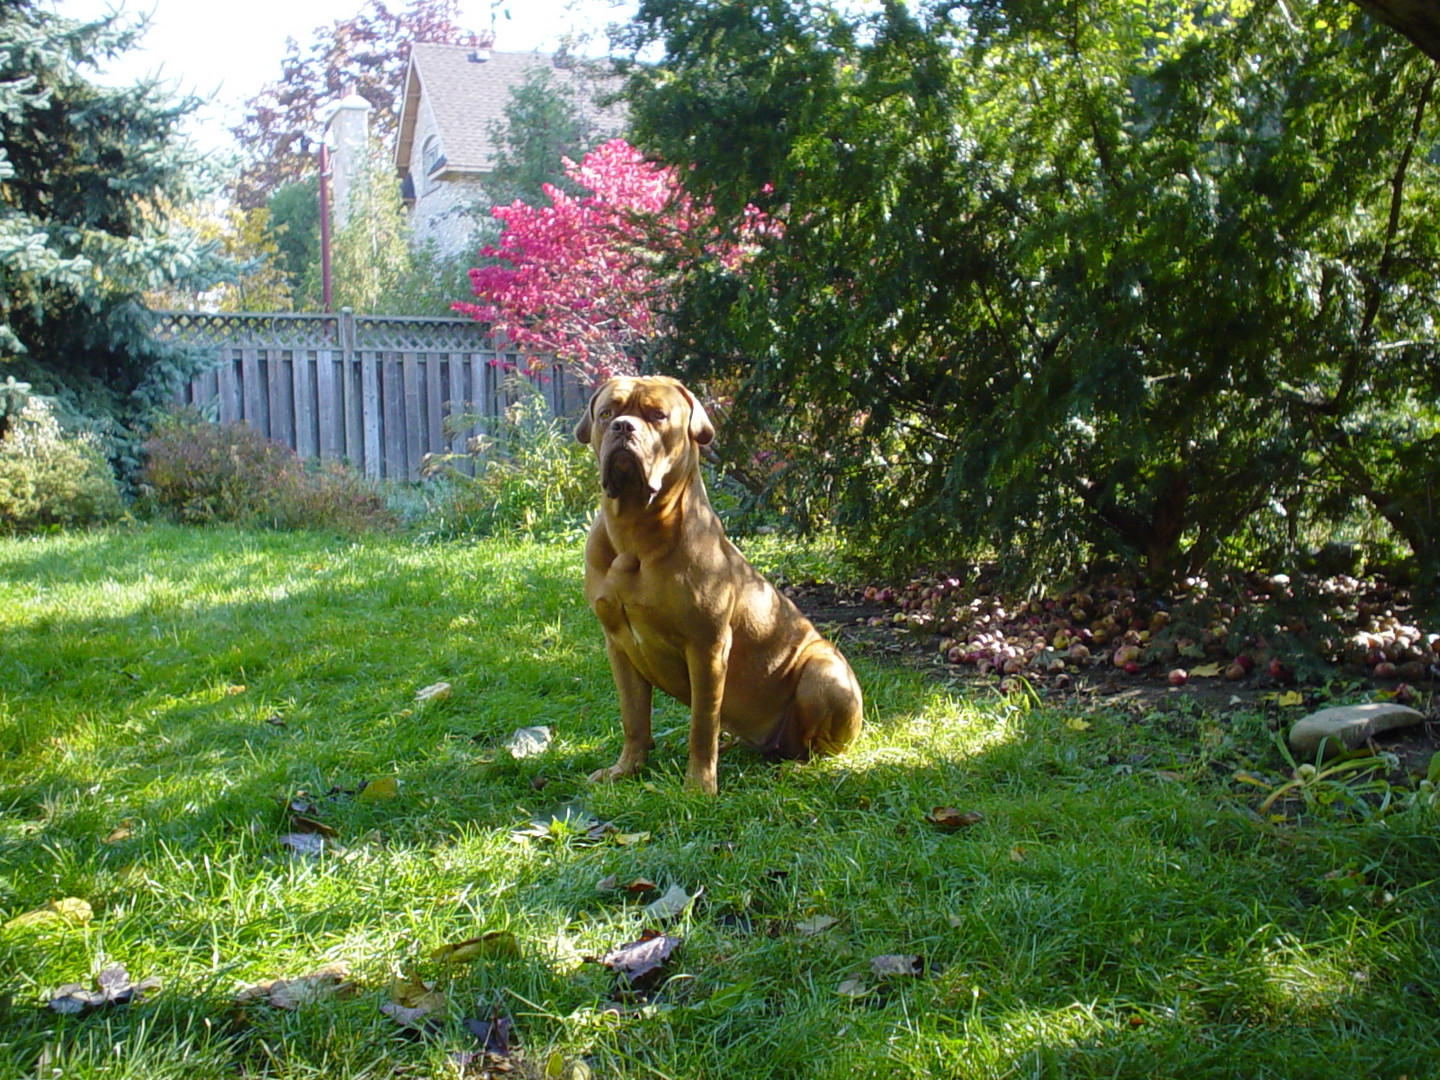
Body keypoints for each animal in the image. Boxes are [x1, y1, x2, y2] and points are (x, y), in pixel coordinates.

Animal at [576, 374, 864, 794]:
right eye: (607, 413)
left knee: (816, 746)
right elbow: (633, 718)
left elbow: (702, 723)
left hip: (824, 674)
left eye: (658, 415)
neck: (634, 532)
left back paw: (795, 768)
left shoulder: (707, 646)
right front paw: (625, 769)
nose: (623, 427)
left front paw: (698, 786)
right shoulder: (619, 645)